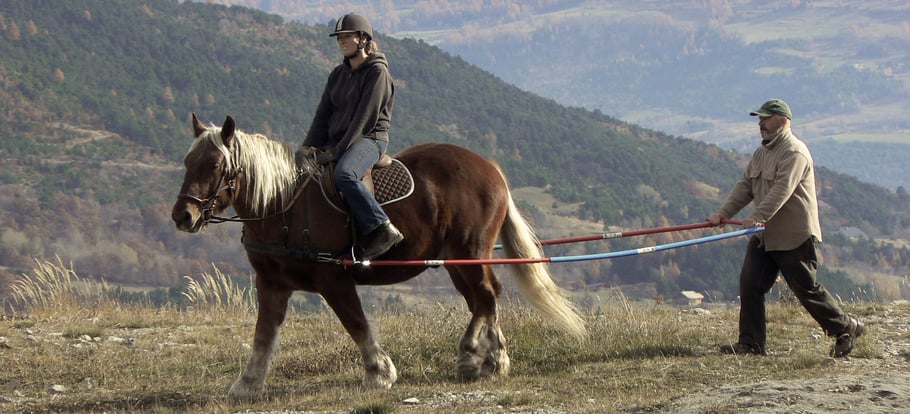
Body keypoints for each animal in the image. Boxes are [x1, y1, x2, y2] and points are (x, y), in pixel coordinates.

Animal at [171, 114, 586, 400]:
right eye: (187, 162)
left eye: (214, 165)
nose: (182, 216)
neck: (283, 206)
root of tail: (490, 168)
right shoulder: (271, 284)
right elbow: (263, 335)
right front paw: (247, 384)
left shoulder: (334, 280)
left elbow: (357, 324)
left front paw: (379, 372)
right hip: (456, 260)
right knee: (483, 299)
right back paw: (492, 359)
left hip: (469, 251)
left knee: (485, 295)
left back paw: (473, 355)